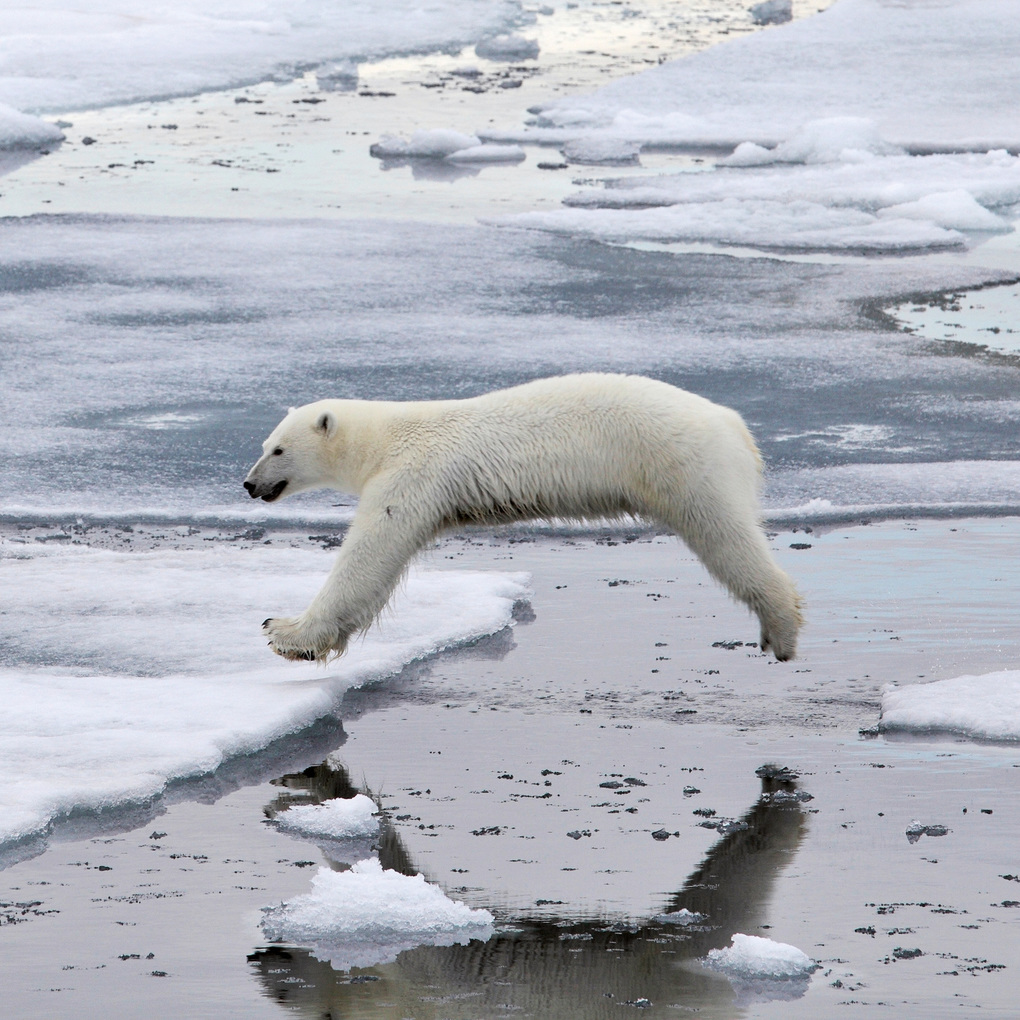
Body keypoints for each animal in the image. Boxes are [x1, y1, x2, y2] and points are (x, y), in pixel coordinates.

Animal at [243, 373, 802, 662]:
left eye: (277, 449)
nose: (249, 484)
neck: (387, 437)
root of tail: (736, 427)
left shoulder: (413, 474)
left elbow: (371, 552)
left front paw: (284, 630)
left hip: (685, 467)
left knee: (726, 536)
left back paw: (781, 629)